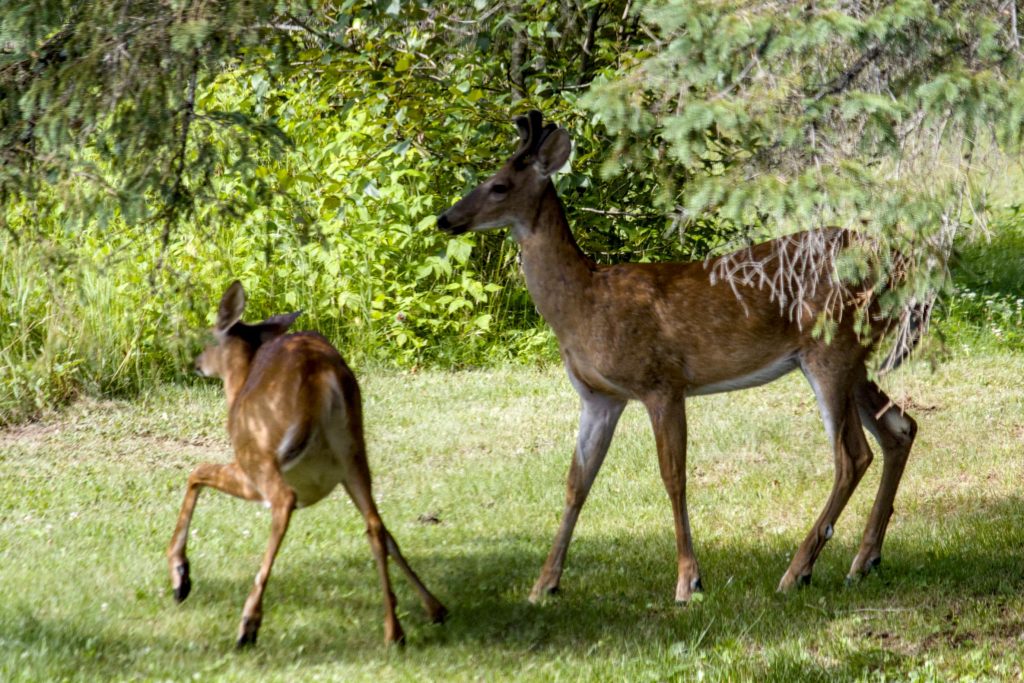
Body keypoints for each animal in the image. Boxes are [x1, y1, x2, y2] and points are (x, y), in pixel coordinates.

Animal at [167, 281, 447, 647]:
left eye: (206, 337)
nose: (195, 363)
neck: (238, 385)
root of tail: (319, 373)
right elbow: (387, 535)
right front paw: (435, 608)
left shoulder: (246, 465)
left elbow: (195, 472)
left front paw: (180, 577)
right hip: (353, 453)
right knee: (375, 525)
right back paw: (395, 630)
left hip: (262, 455)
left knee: (283, 501)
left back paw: (248, 624)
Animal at [436, 110, 918, 604]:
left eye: (499, 185)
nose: (445, 218)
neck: (584, 305)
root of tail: (898, 264)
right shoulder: (599, 397)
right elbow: (576, 483)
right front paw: (544, 584)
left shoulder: (661, 382)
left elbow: (673, 476)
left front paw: (689, 582)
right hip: (852, 358)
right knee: (900, 427)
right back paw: (863, 561)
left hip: (831, 348)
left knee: (852, 454)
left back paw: (798, 571)